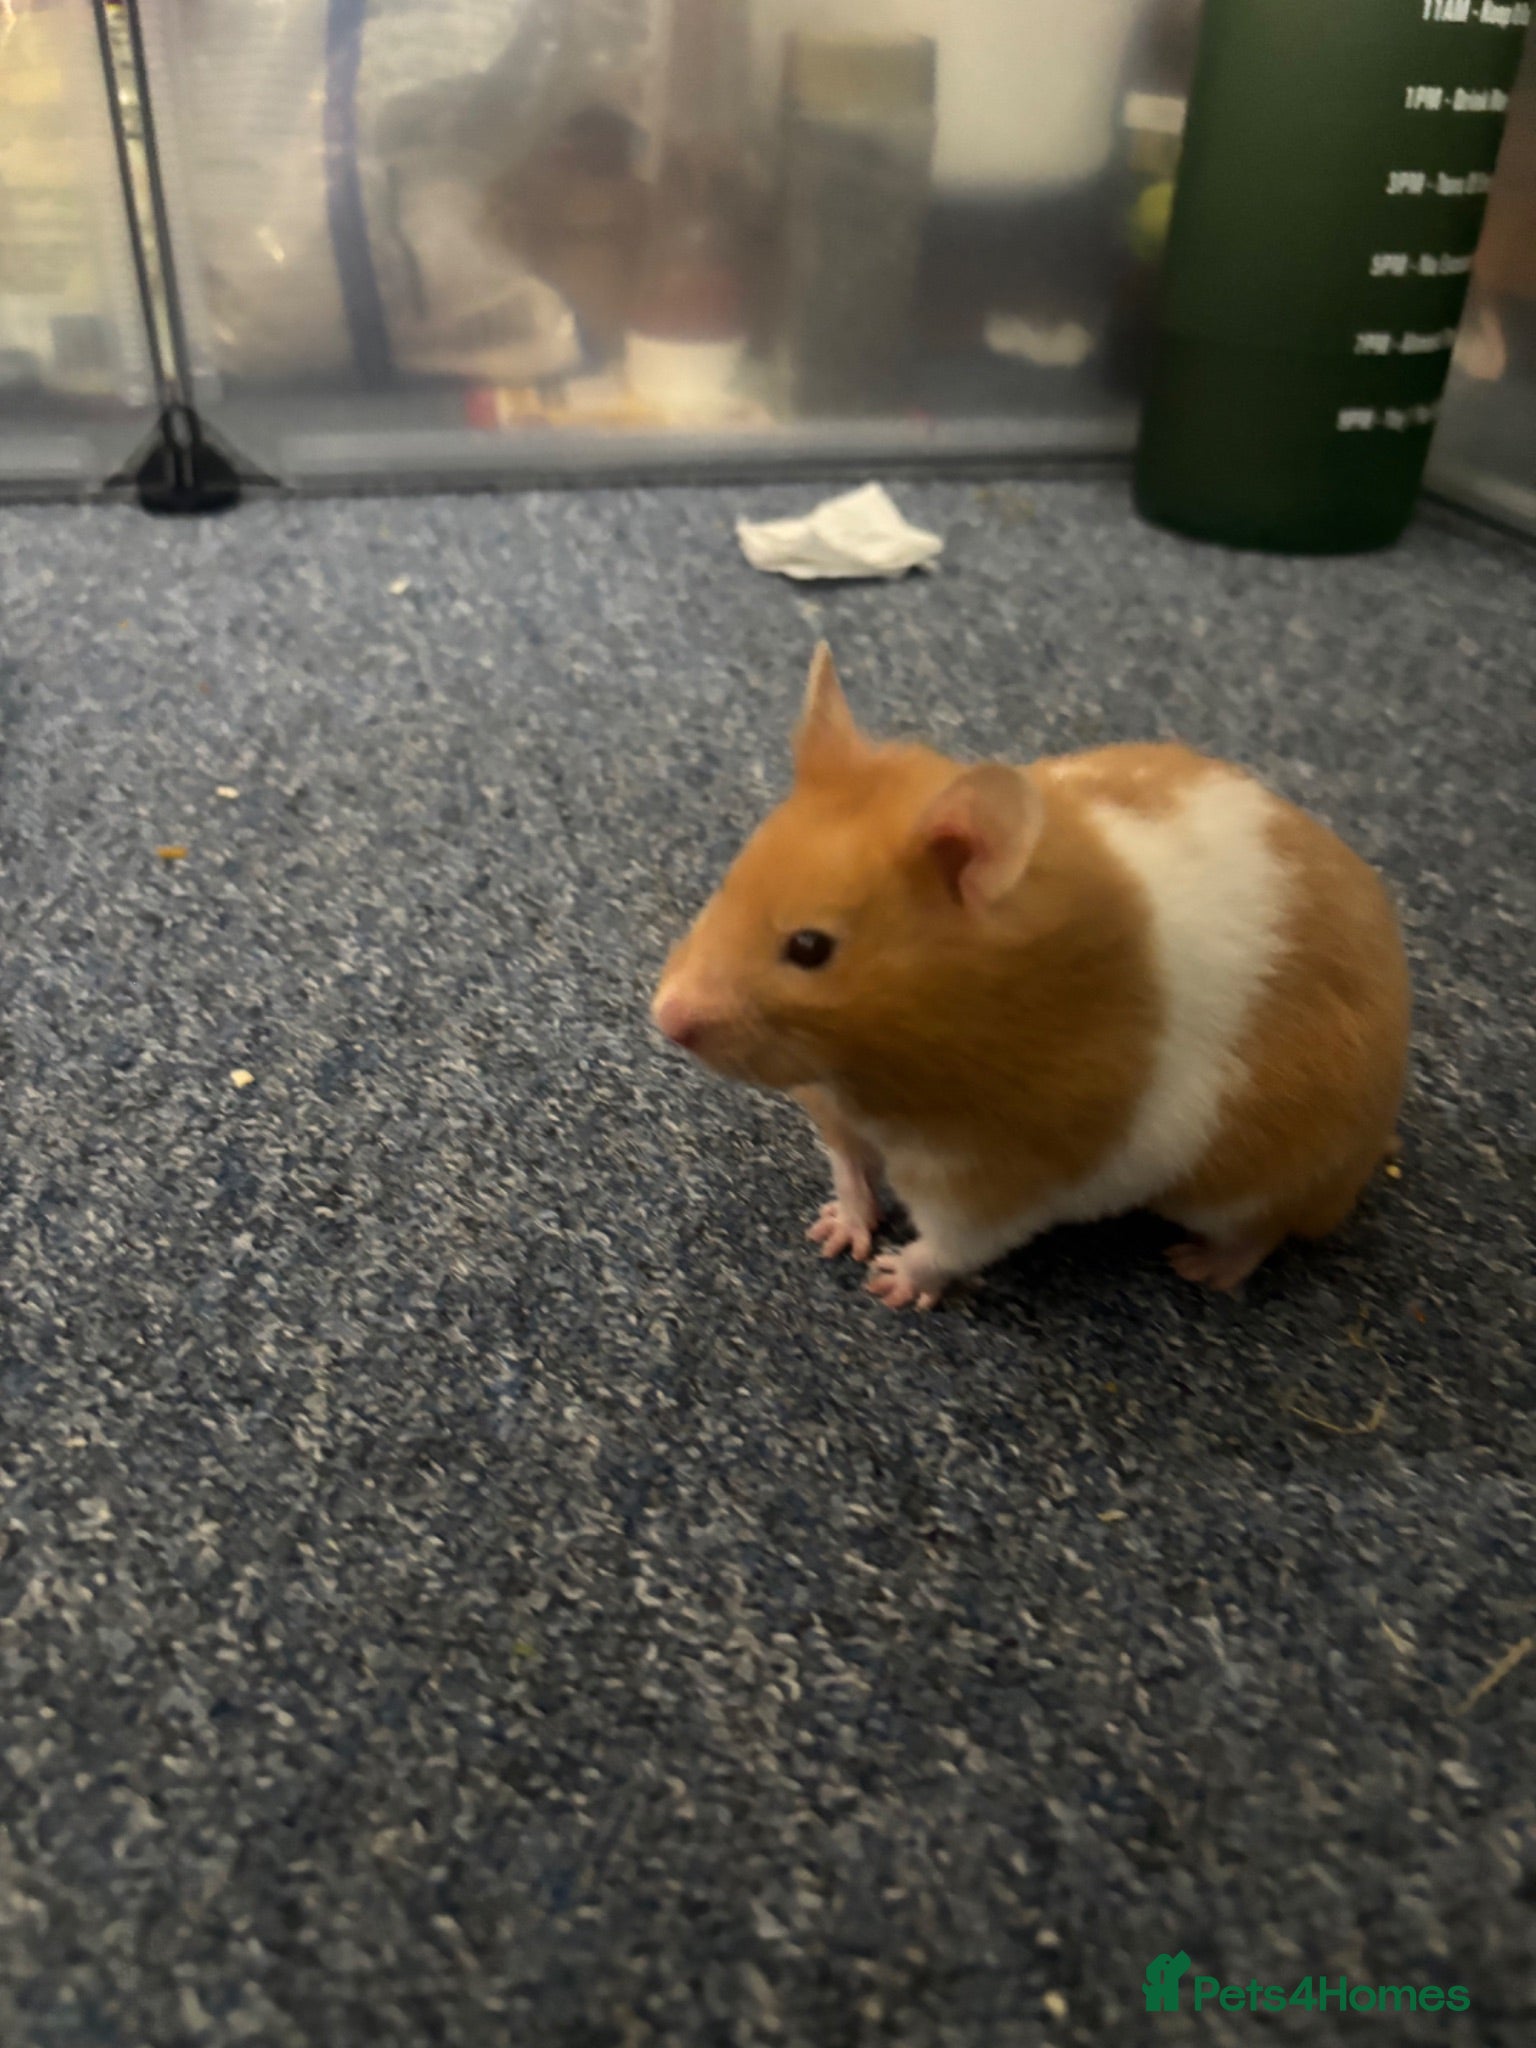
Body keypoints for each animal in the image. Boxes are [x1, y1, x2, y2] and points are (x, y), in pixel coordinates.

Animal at [651, 643, 1410, 1311]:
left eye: (810, 947)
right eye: (729, 883)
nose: (663, 1017)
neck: (875, 1072)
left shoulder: (1005, 1177)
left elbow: (953, 1243)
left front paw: (890, 1283)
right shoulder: (838, 1108)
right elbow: (849, 1169)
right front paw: (835, 1236)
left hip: (1258, 1179)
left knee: (1266, 1228)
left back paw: (1200, 1267)